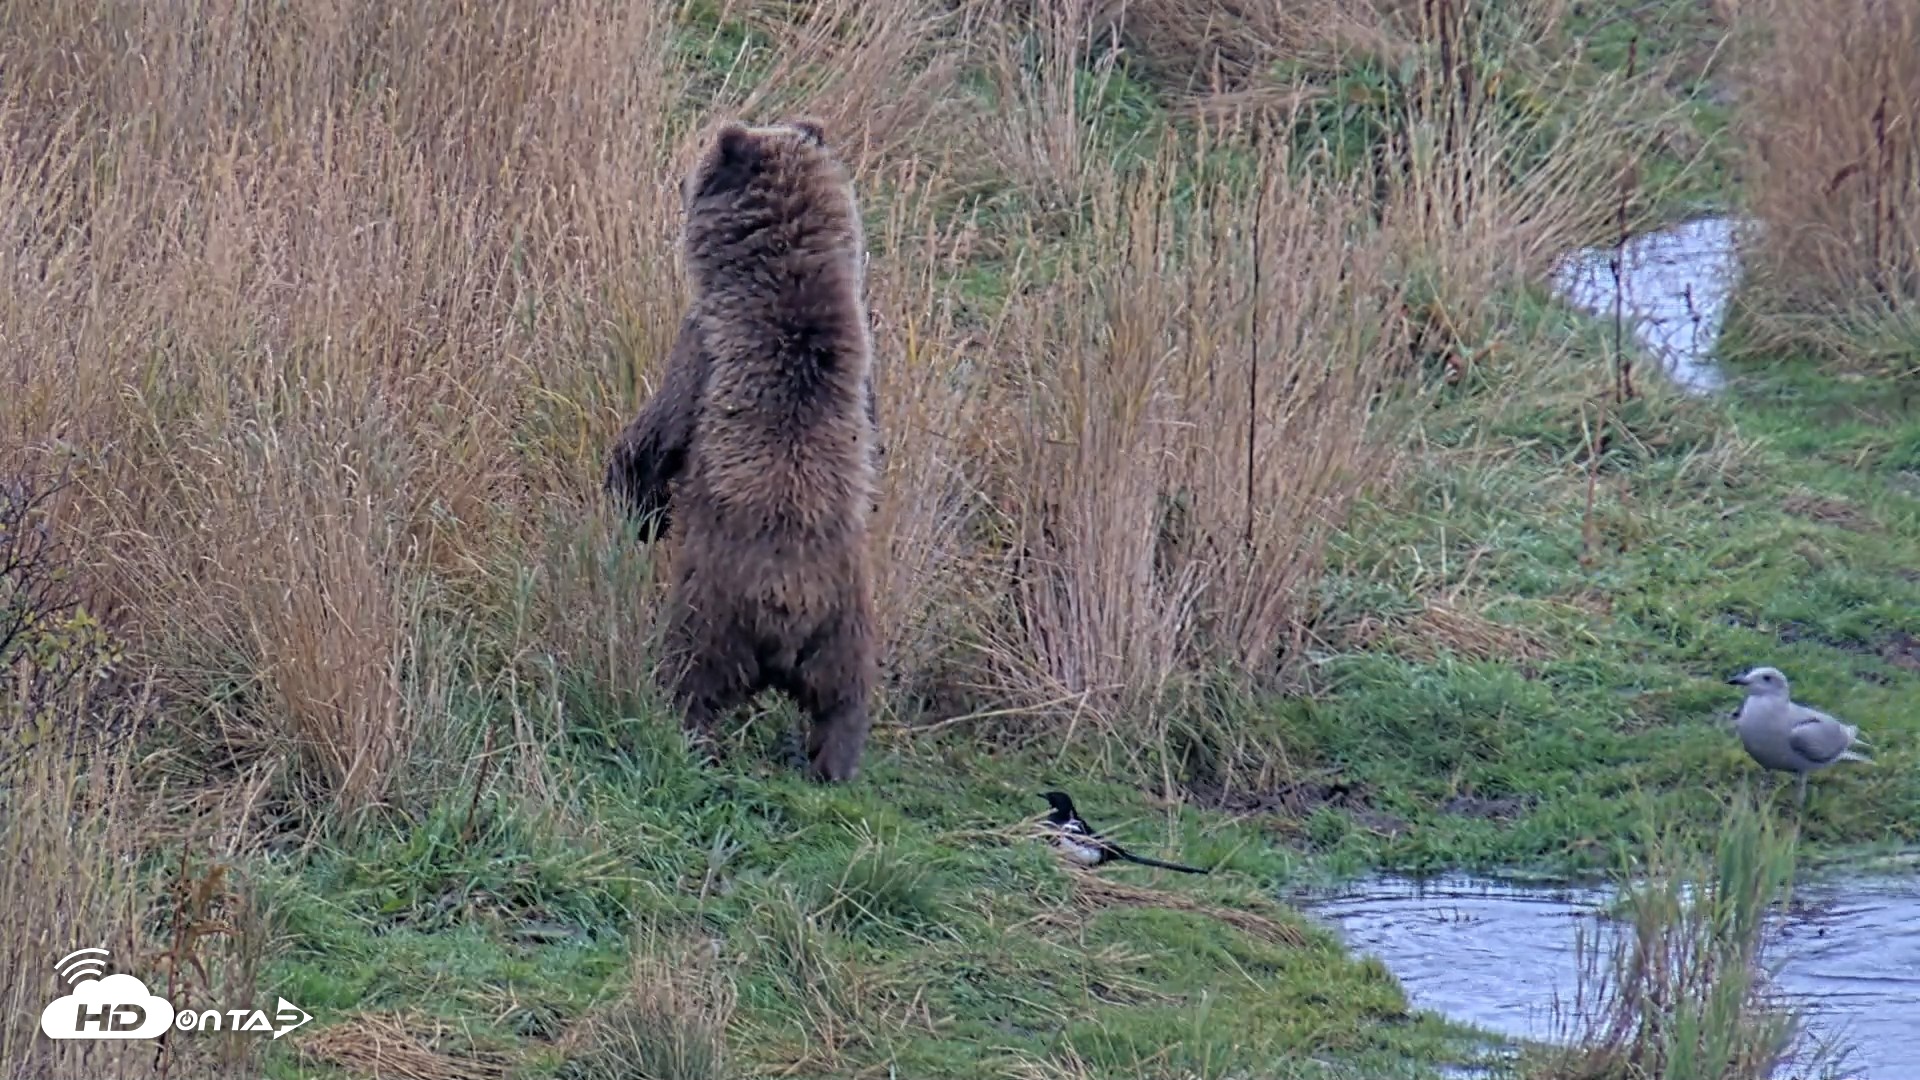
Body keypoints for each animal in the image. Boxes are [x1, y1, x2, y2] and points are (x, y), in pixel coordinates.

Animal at [603, 118, 880, 783]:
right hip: (848, 627)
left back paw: (683, 732)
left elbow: (657, 435)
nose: (679, 178)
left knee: (691, 676)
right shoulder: (866, 380)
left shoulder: (702, 347)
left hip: (714, 606)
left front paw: (635, 499)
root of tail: (792, 605)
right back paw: (832, 764)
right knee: (843, 701)